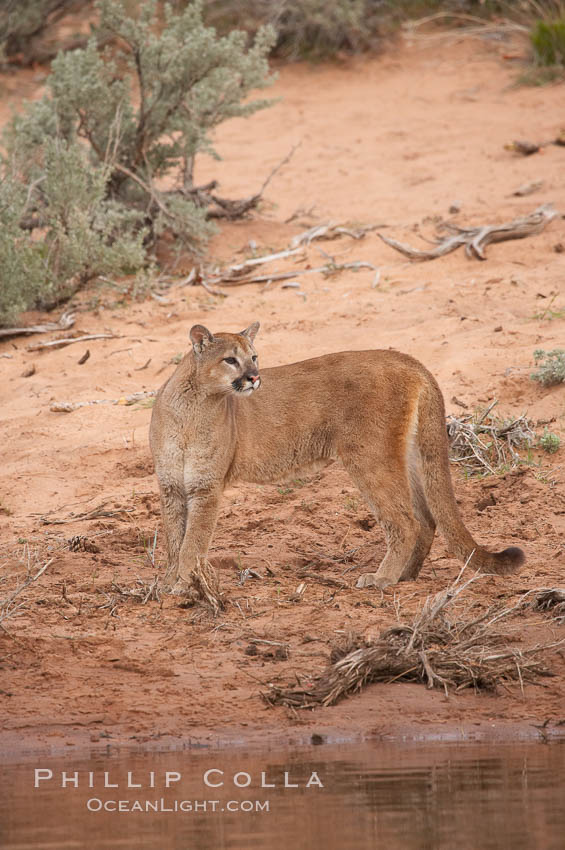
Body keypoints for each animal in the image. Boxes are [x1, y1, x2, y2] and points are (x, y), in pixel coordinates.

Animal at [150, 322, 524, 592]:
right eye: (230, 359)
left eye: (253, 357)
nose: (255, 377)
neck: (192, 409)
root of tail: (408, 359)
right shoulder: (171, 487)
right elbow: (174, 540)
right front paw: (168, 582)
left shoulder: (206, 487)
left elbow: (192, 542)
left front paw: (182, 585)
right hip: (407, 455)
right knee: (427, 518)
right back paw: (406, 575)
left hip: (369, 456)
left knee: (406, 521)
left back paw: (382, 579)